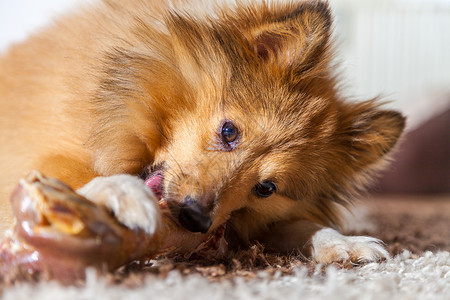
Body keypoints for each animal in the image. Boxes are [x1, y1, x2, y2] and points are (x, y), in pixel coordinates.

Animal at [0, 0, 406, 262]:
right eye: (228, 132)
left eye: (266, 188)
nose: (194, 219)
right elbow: (76, 173)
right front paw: (123, 193)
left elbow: (301, 224)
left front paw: (345, 243)